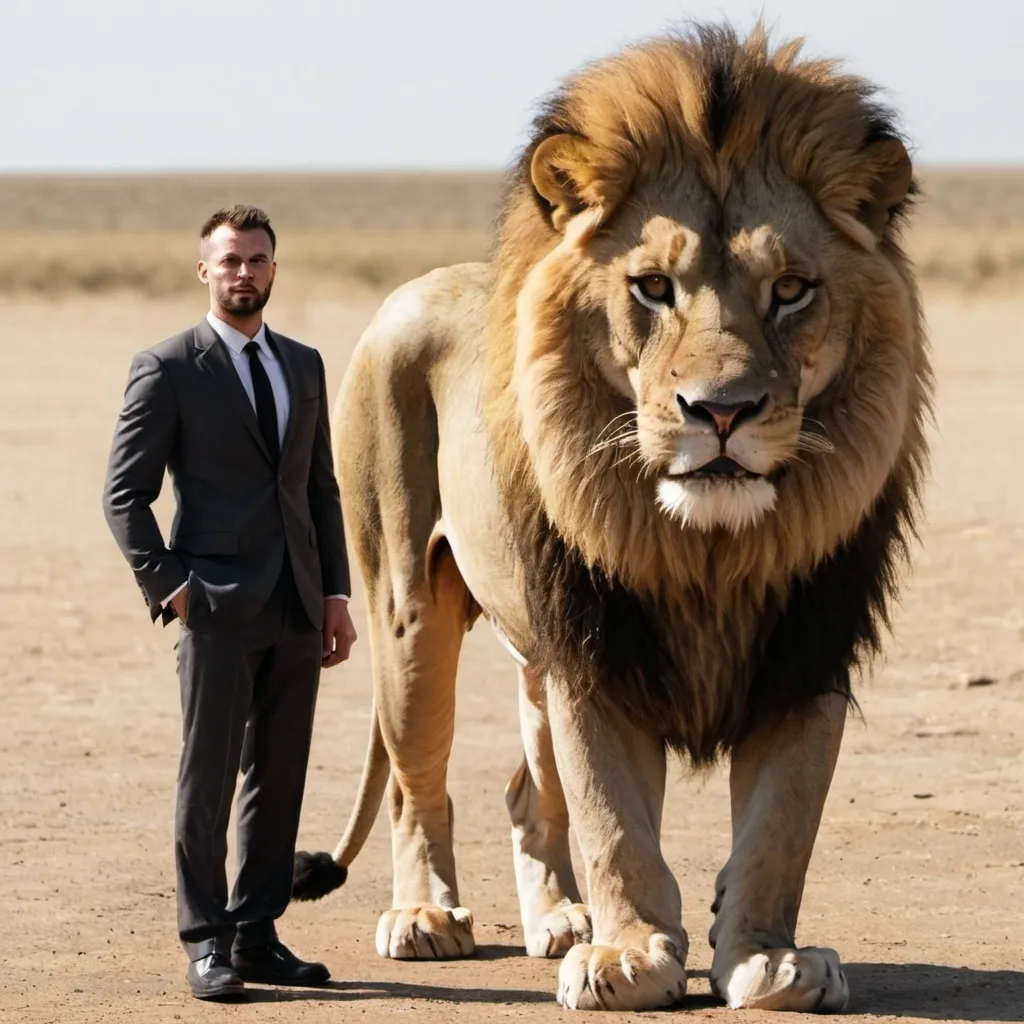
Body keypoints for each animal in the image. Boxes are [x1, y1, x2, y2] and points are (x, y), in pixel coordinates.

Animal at [292, 19, 933, 1011]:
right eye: (654, 288)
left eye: (791, 289)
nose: (721, 411)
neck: (708, 549)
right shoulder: (594, 646)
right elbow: (614, 819)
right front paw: (629, 956)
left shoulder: (807, 645)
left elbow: (782, 823)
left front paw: (768, 958)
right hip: (405, 606)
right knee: (414, 783)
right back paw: (427, 917)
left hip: (528, 652)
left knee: (525, 792)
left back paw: (559, 919)